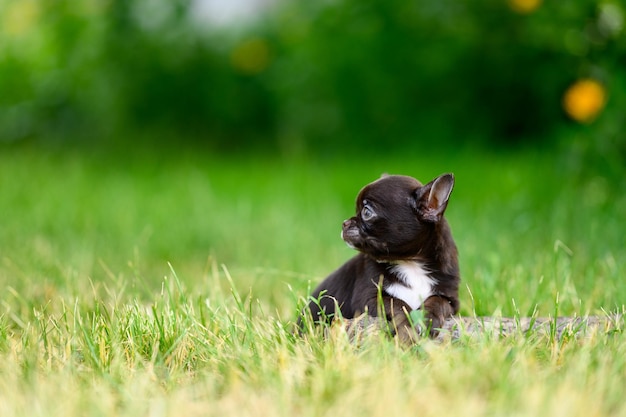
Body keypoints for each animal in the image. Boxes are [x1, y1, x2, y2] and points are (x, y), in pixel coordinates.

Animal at [302, 174, 458, 340]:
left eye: (366, 212)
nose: (344, 223)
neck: (411, 262)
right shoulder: (370, 299)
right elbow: (397, 304)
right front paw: (408, 327)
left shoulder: (451, 299)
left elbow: (438, 301)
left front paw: (428, 319)